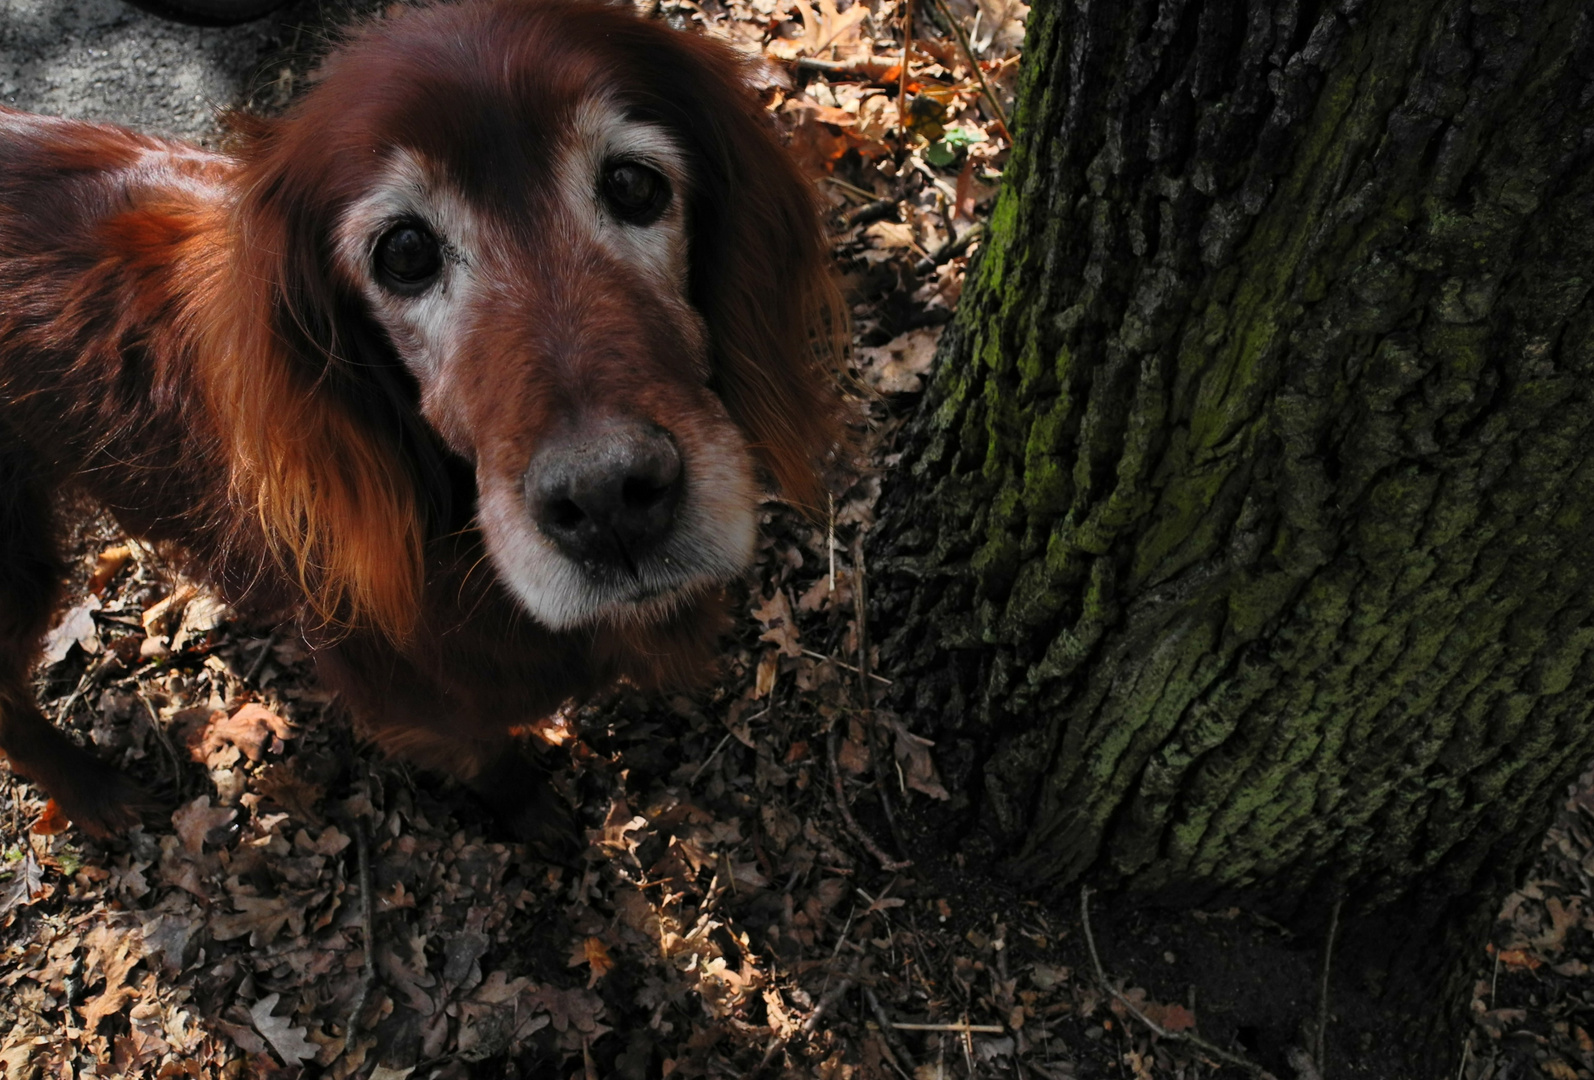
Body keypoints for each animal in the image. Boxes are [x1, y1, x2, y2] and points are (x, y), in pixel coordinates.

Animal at [0, 0, 848, 847]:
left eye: (634, 184)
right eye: (405, 251)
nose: (608, 499)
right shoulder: (405, 689)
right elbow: (484, 753)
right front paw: (531, 809)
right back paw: (92, 791)